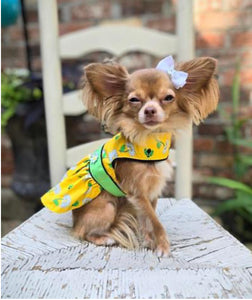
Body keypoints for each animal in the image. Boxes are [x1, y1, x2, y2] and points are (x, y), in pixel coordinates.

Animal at [41, 56, 219, 258]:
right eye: (134, 100)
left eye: (168, 98)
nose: (149, 110)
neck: (149, 143)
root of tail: (73, 221)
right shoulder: (137, 192)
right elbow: (155, 221)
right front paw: (162, 246)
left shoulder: (150, 193)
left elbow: (147, 218)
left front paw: (149, 240)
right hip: (107, 208)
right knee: (81, 233)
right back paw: (103, 238)